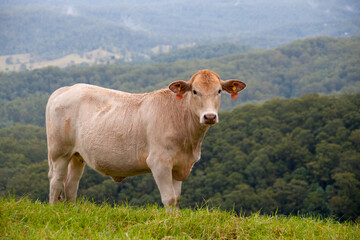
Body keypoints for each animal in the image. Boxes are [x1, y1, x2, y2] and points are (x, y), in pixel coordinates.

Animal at [46, 69, 246, 208]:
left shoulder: (179, 164)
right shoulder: (159, 162)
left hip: (77, 155)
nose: (209, 116)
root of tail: (67, 88)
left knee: (71, 185)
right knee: (56, 182)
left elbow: (177, 198)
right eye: (195, 91)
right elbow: (169, 198)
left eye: (219, 91)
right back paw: (56, 211)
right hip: (59, 153)